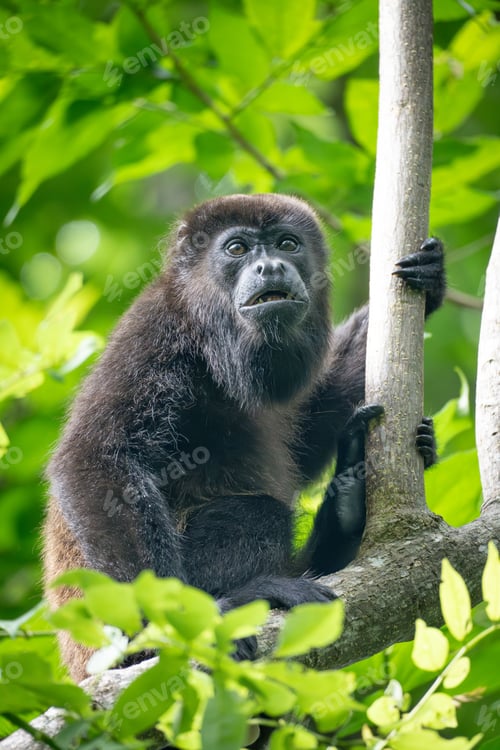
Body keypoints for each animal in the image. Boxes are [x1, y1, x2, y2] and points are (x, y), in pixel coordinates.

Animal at [43, 193, 445, 681]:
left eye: (287, 243)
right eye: (236, 249)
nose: (270, 267)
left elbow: (311, 429)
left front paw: (432, 278)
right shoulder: (154, 334)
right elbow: (95, 459)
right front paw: (169, 627)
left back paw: (350, 495)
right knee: (256, 513)